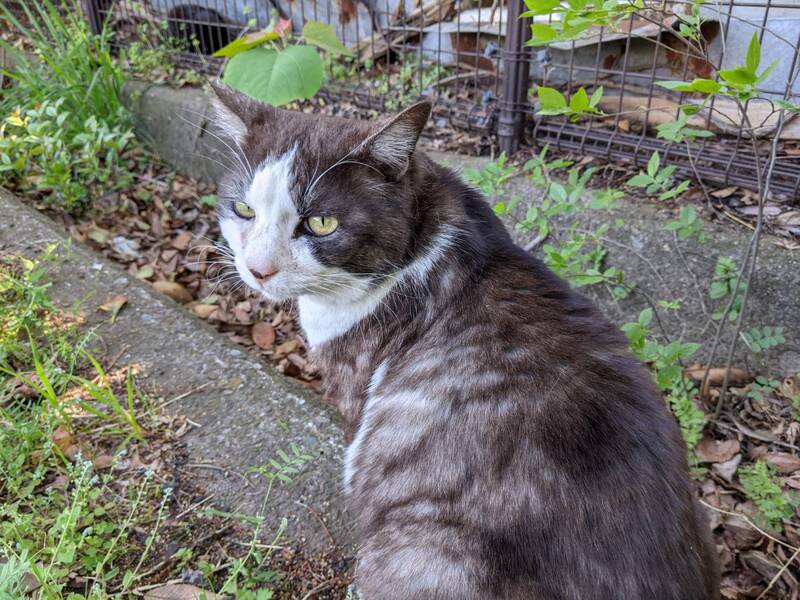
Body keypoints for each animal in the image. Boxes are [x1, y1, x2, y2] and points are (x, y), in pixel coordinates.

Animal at [210, 81, 720, 600]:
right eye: (244, 210)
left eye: (321, 224)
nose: (258, 269)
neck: (423, 245)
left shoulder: (359, 401)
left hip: (427, 550)